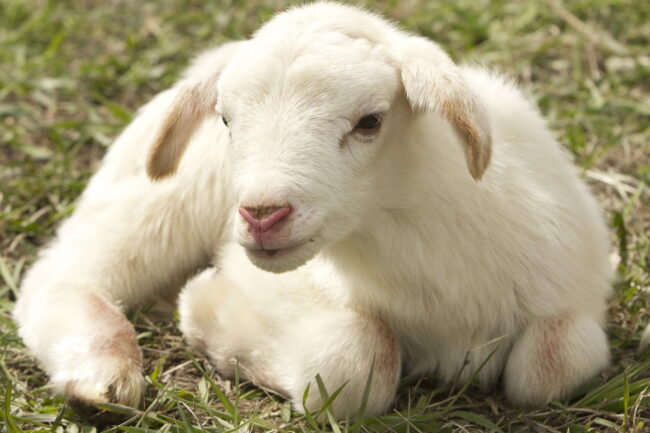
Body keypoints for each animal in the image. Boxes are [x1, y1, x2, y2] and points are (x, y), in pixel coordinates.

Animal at [13, 1, 614, 419]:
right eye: (226, 119)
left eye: (370, 121)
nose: (261, 214)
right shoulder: (273, 288)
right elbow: (357, 362)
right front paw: (206, 312)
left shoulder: (571, 292)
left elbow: (555, 360)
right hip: (159, 201)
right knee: (63, 275)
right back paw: (103, 375)